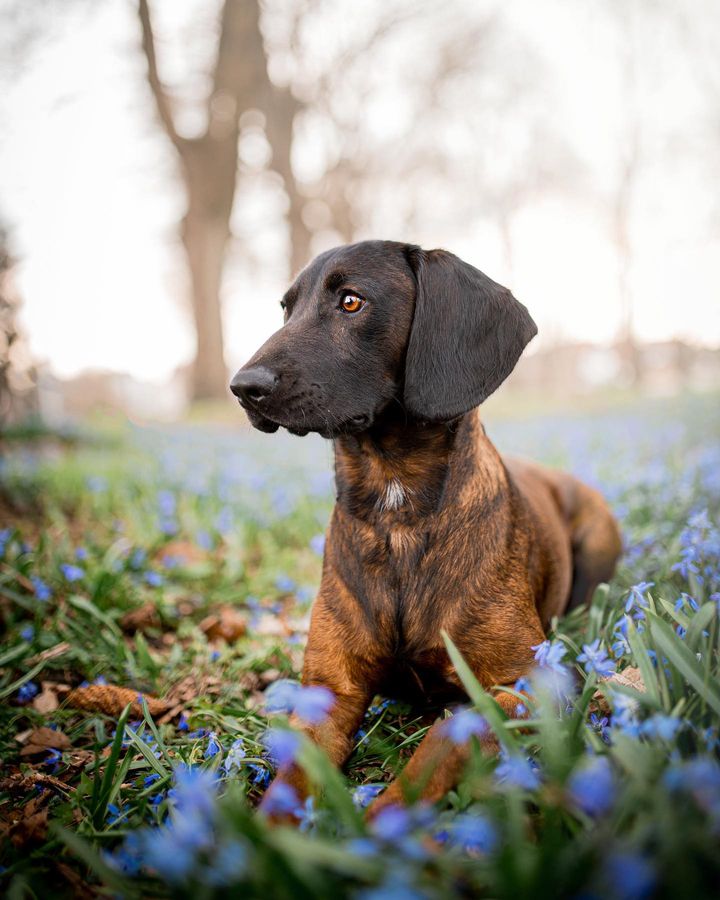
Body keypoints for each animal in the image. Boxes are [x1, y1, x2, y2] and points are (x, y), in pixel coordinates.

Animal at [231, 243, 624, 820]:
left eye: (351, 301)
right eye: (286, 308)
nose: (243, 387)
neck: (396, 514)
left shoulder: (528, 684)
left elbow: (445, 741)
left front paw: (386, 821)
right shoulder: (330, 692)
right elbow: (291, 779)